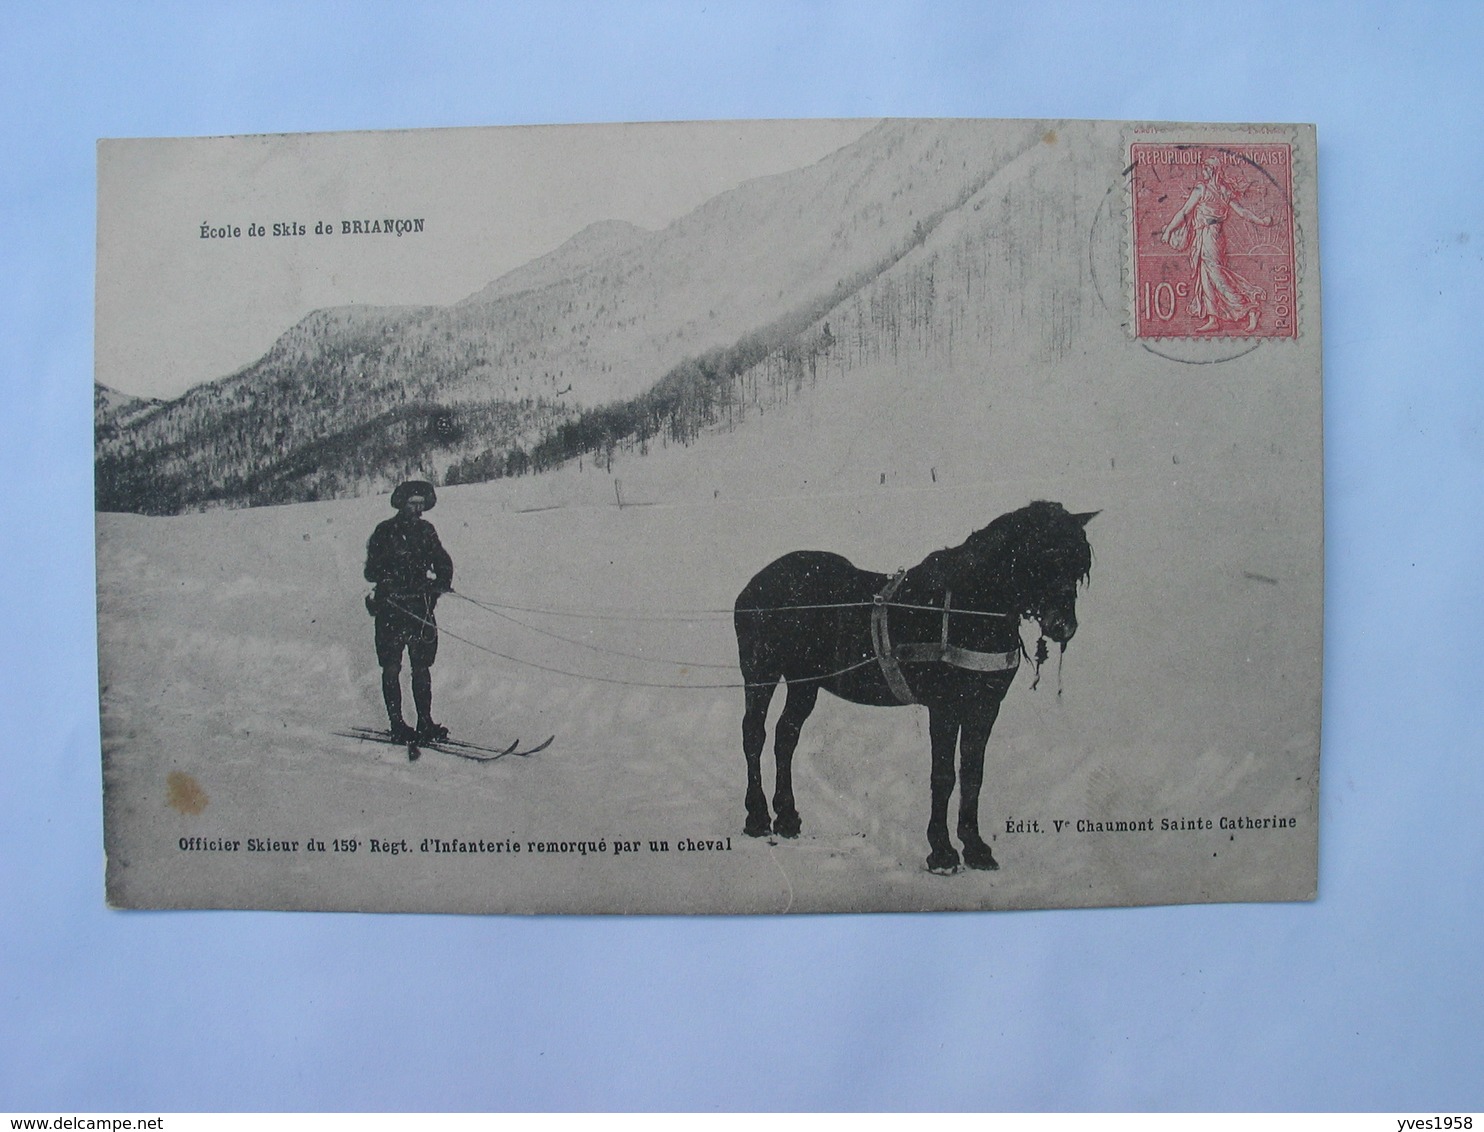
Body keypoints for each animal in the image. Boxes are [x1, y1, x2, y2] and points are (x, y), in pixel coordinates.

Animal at [730, 501, 1092, 872]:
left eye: (1080, 566)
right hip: (761, 673)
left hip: (805, 683)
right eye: (1041, 556)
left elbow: (972, 775)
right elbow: (943, 776)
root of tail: (756, 584)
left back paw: (787, 817)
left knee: (785, 736)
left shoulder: (984, 707)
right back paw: (757, 817)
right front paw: (942, 852)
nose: (1064, 626)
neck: (966, 609)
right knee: (754, 734)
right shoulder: (944, 707)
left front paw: (975, 847)